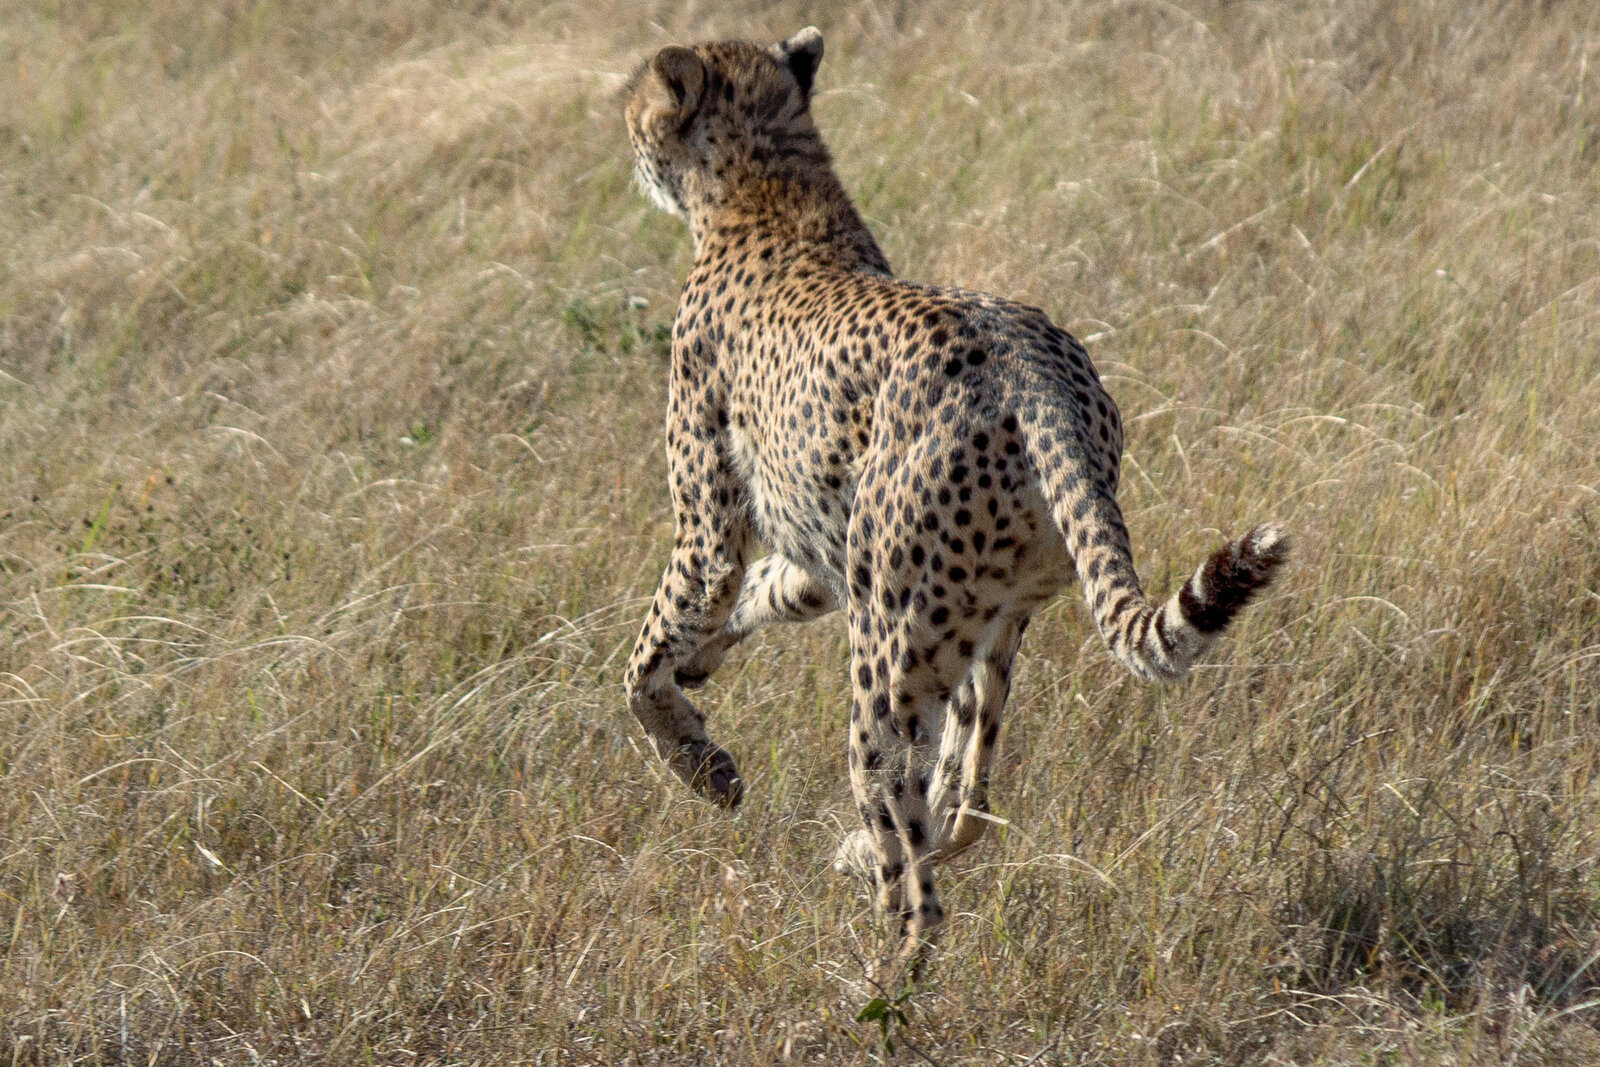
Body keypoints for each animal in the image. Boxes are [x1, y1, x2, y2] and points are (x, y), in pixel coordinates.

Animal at [620, 27, 1290, 969]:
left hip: (891, 648)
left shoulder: (708, 530)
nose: (627, 140)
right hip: (984, 620)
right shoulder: (828, 556)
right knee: (967, 795)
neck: (767, 186)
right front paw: (705, 668)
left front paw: (701, 764)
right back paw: (872, 854)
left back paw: (878, 974)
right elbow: (761, 594)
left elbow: (644, 658)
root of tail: (1034, 364)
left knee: (911, 841)